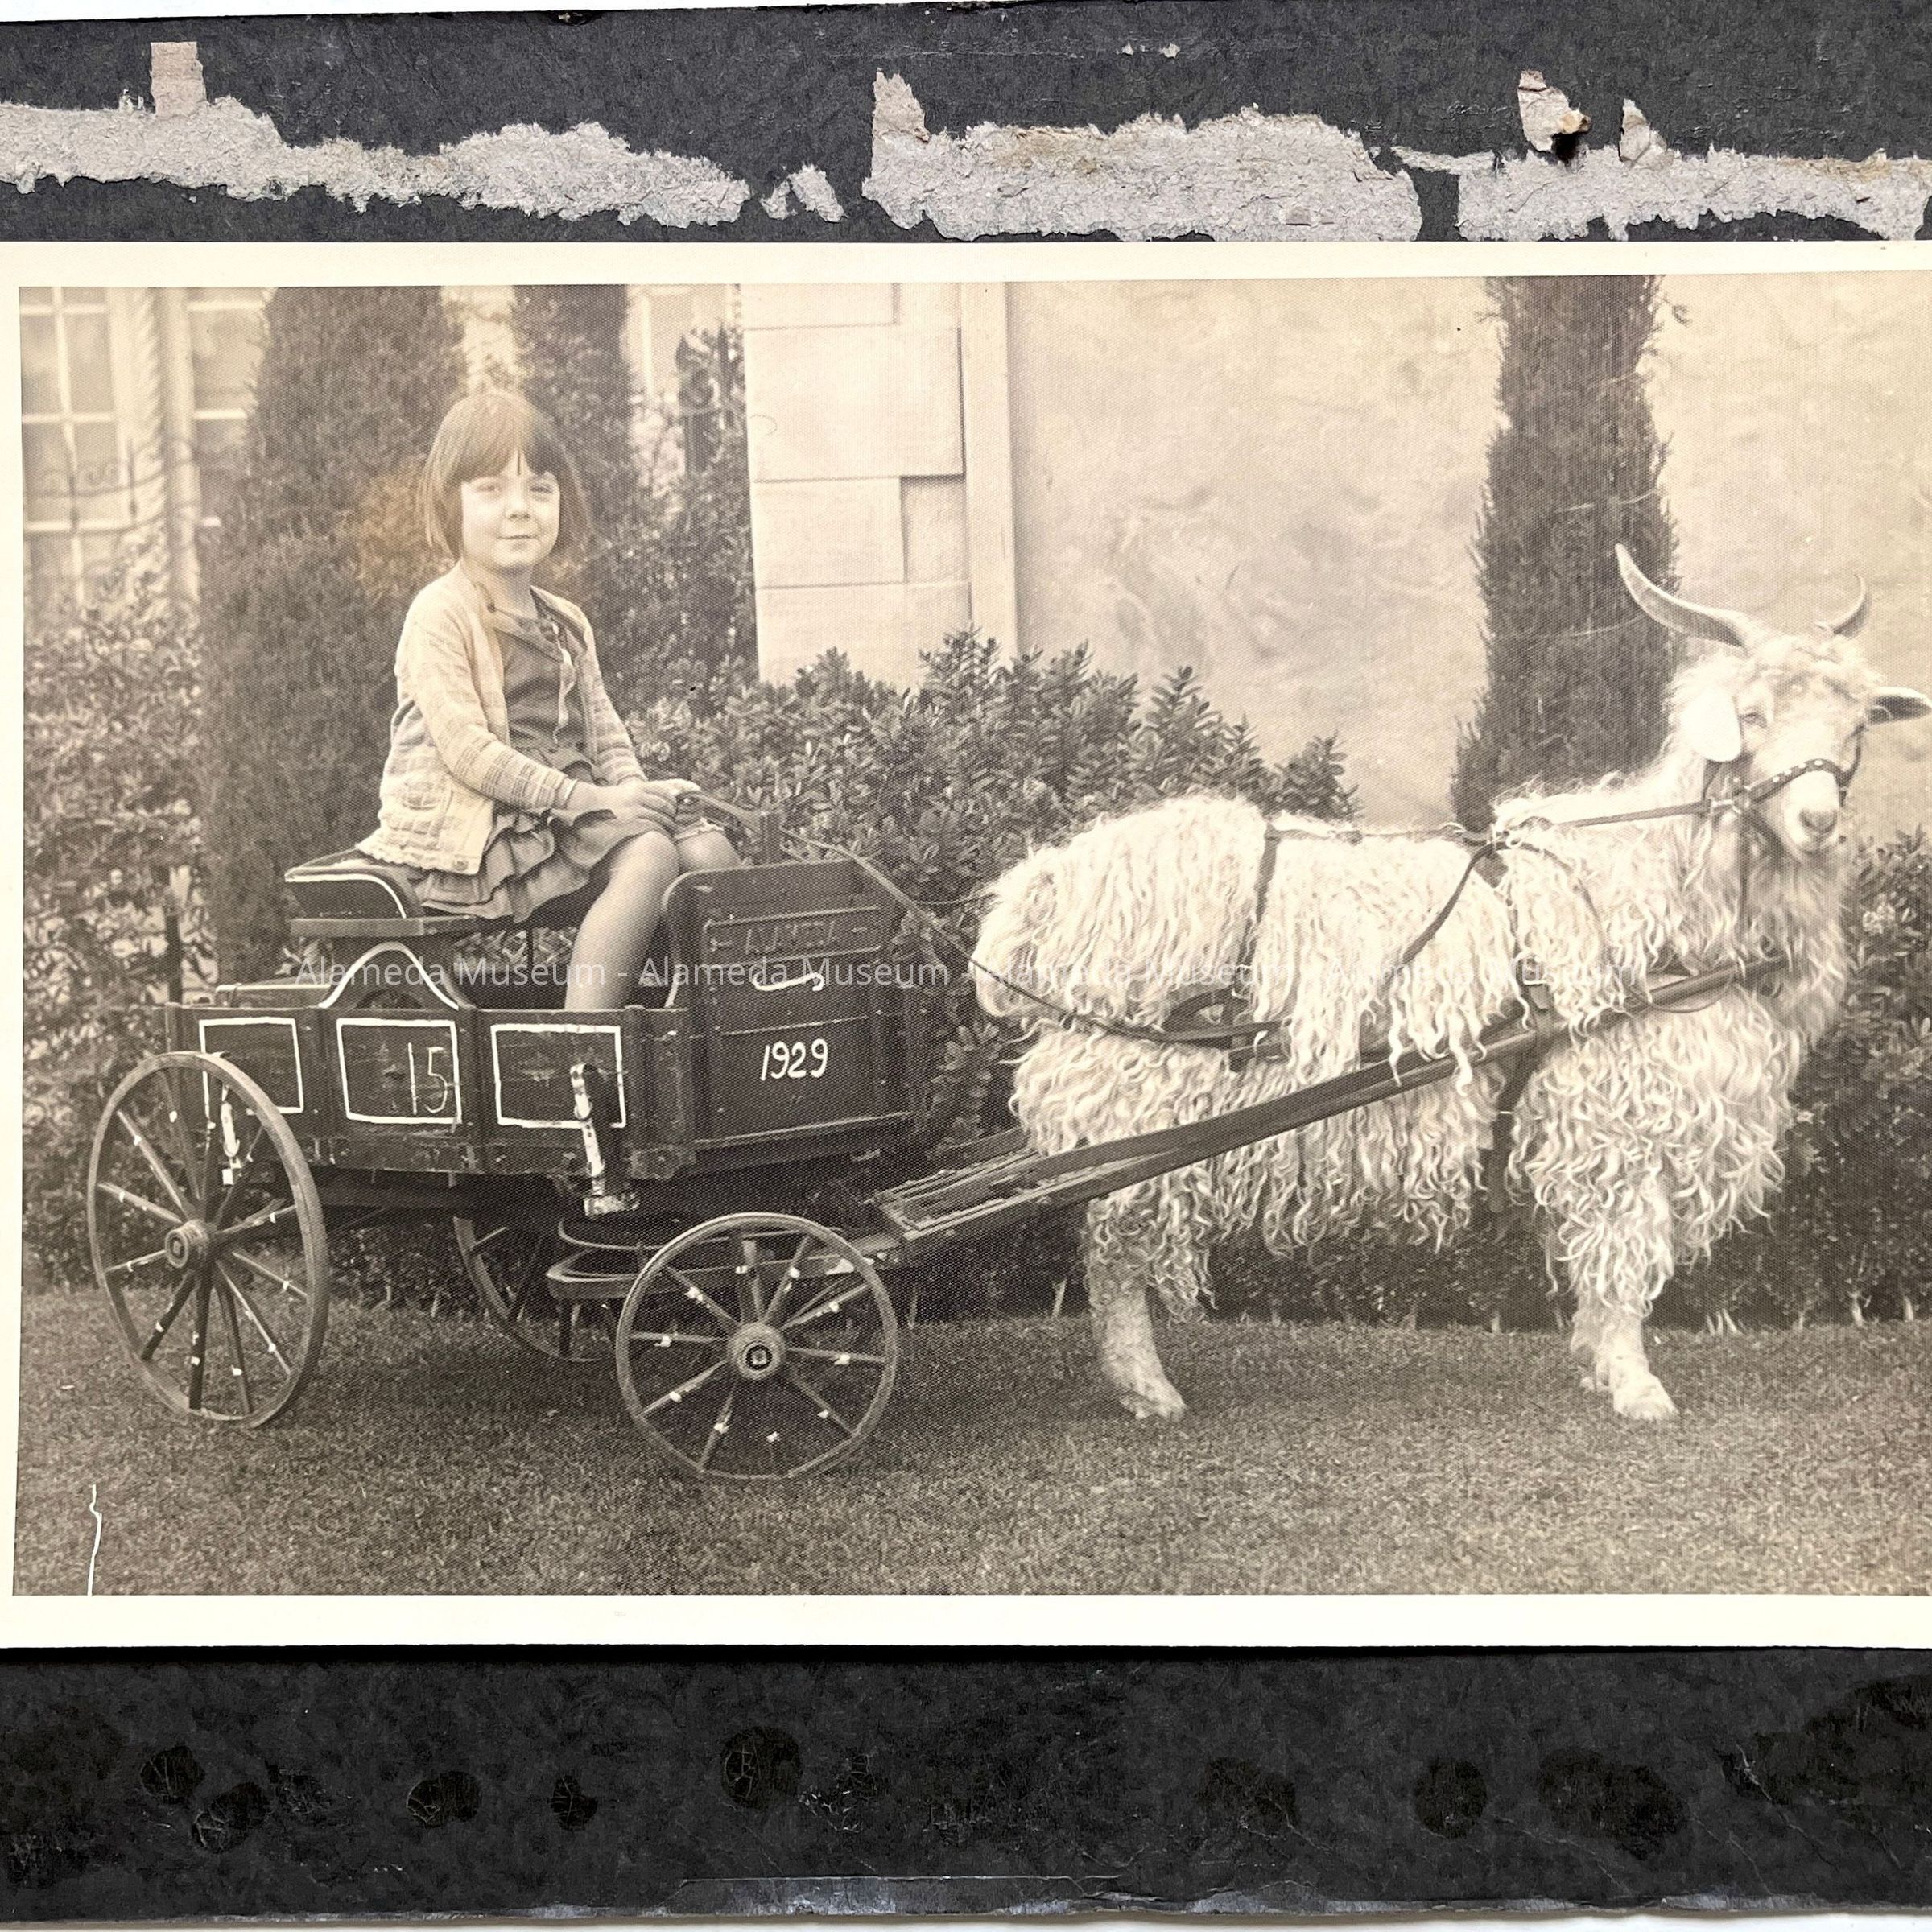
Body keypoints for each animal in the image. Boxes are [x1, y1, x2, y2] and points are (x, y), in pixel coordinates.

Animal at [973, 548, 1929, 1423]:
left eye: (1856, 726)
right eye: (1753, 715)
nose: (1816, 820)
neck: (1665, 888)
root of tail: (1041, 893)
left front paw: (1596, 1363)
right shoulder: (1613, 1120)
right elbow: (1620, 1260)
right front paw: (1636, 1386)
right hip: (1135, 1106)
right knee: (1113, 1255)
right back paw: (1150, 1390)